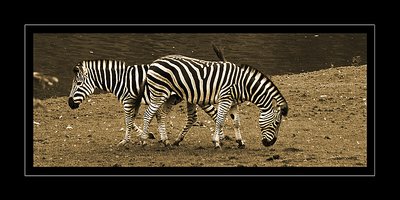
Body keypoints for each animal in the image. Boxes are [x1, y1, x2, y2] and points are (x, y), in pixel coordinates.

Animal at [138, 54, 288, 148]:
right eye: (277, 123)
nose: (270, 143)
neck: (243, 85)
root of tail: (155, 62)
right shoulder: (225, 99)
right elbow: (220, 120)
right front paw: (216, 142)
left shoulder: (233, 102)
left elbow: (236, 123)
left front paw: (240, 142)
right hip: (159, 93)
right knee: (148, 114)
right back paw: (144, 140)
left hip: (170, 96)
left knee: (161, 115)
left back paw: (165, 141)